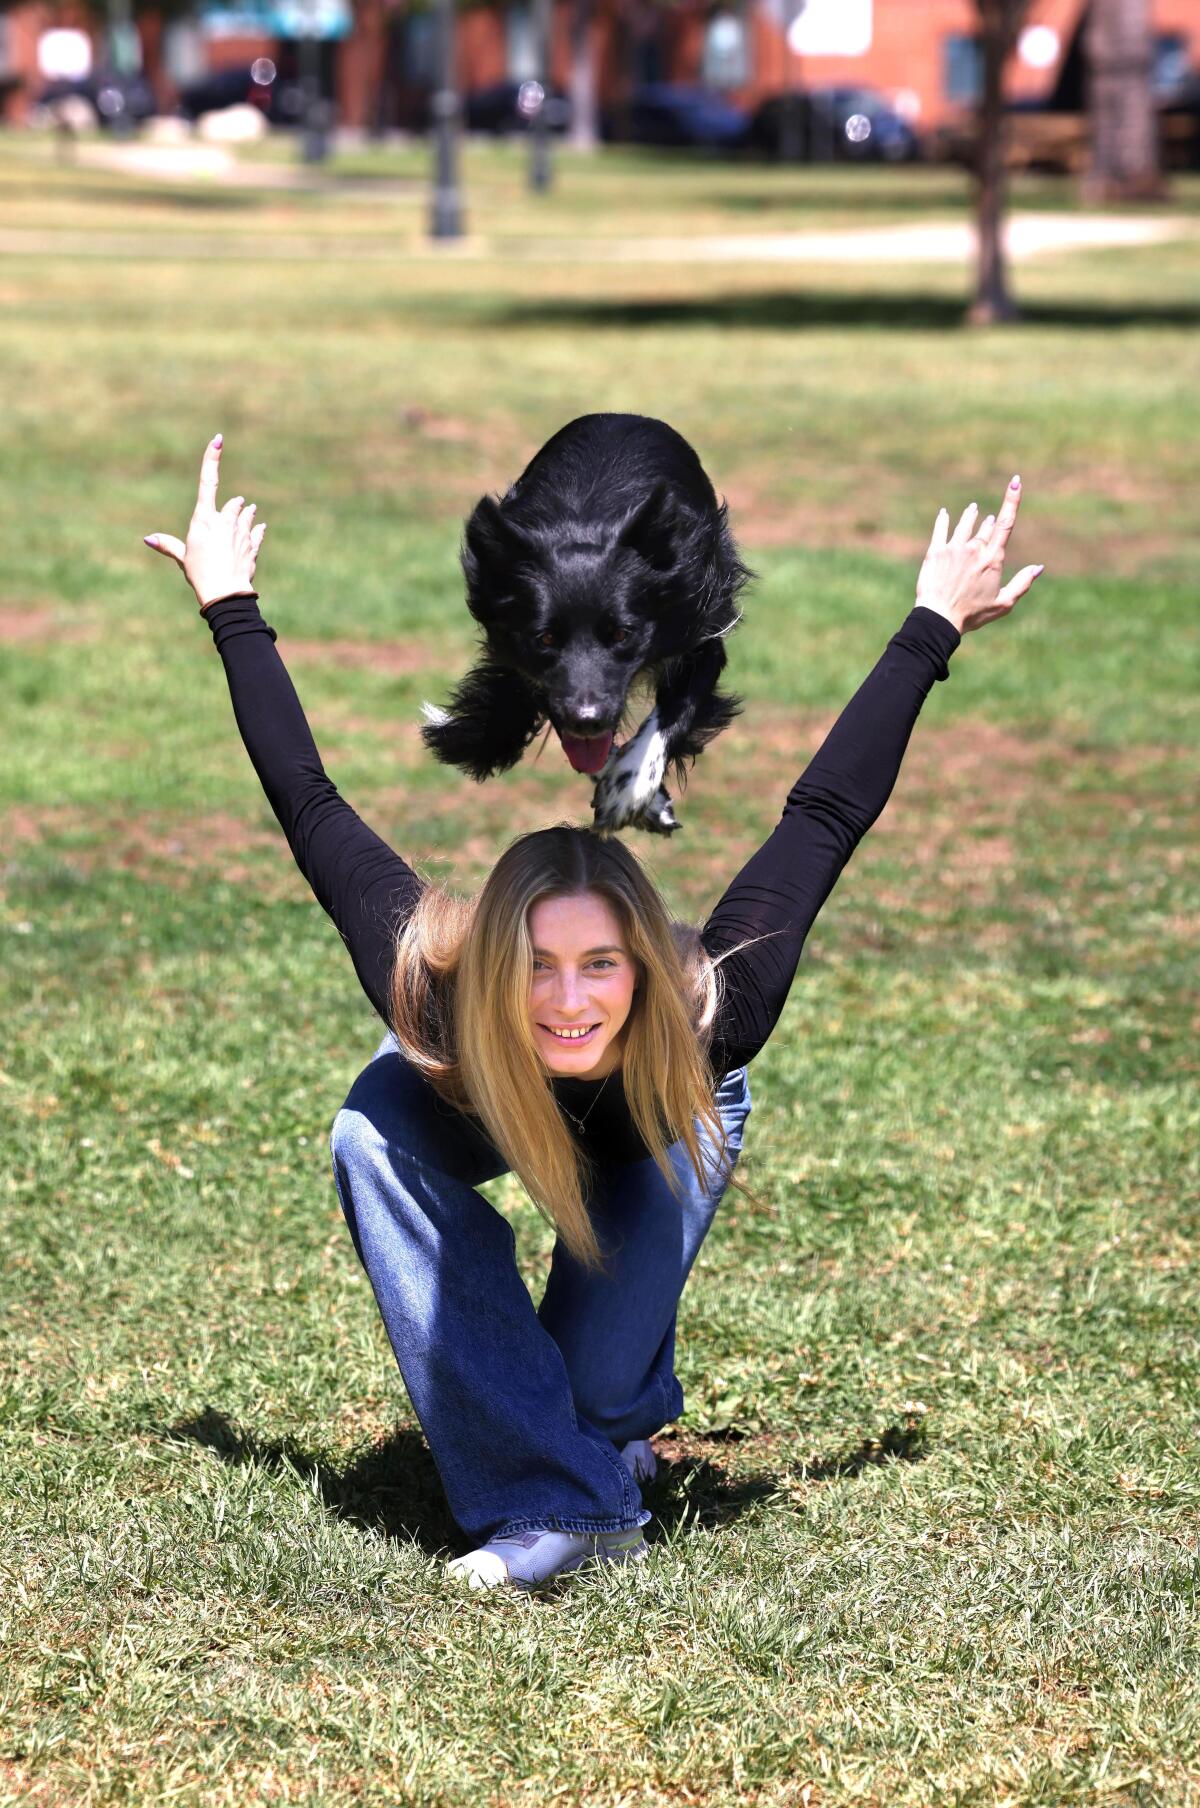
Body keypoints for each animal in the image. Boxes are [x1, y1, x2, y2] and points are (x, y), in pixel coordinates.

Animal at [417, 414, 744, 831]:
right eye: (544, 639)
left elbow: (676, 712)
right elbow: (575, 737)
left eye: (622, 634)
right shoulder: (544, 678)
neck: (586, 522)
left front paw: (630, 786)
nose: (587, 720)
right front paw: (639, 794)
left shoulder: (699, 625)